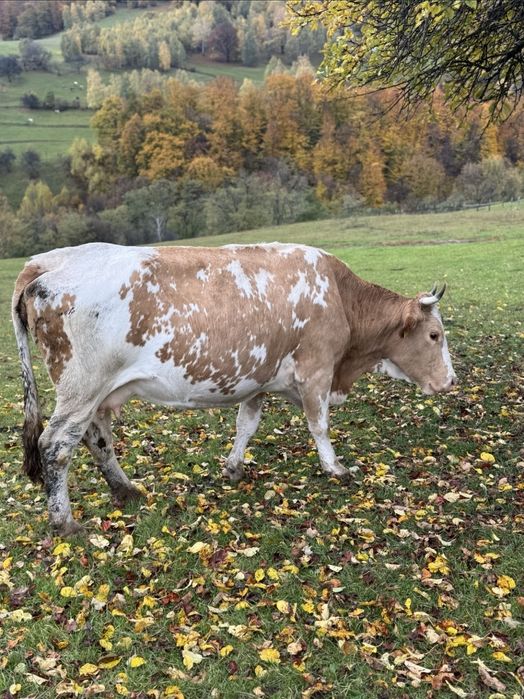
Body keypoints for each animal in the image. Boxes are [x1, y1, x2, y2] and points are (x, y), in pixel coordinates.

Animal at [12, 242, 456, 536]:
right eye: (434, 335)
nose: (451, 381)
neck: (340, 297)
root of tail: (45, 263)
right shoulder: (316, 370)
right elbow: (319, 425)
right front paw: (334, 467)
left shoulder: (259, 378)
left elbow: (247, 423)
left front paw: (233, 467)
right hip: (81, 386)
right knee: (56, 444)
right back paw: (64, 521)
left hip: (95, 393)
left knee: (96, 436)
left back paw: (125, 490)